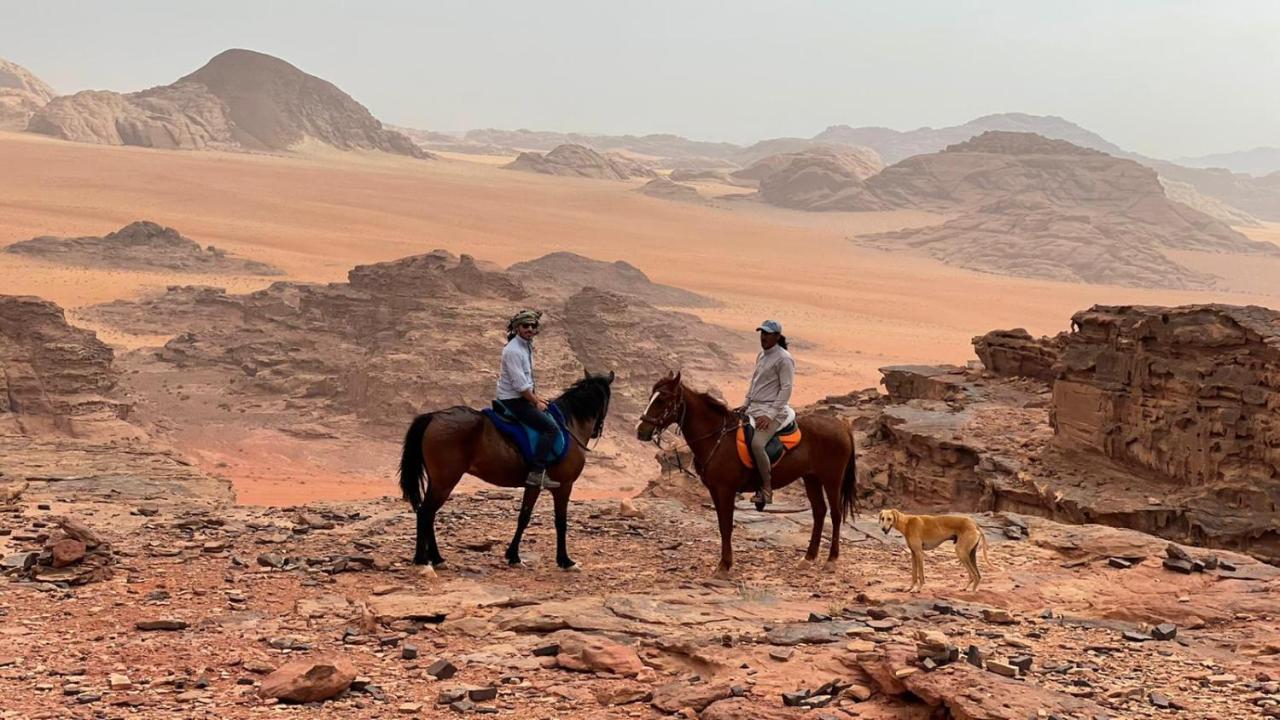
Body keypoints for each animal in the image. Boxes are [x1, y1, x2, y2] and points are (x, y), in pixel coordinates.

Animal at [399, 368, 619, 566]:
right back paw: (423, 559)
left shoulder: (533, 485)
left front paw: (513, 556)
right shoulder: (564, 486)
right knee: (426, 513)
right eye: (608, 401)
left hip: (437, 481)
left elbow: (524, 517)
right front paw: (564, 560)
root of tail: (434, 416)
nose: (596, 431)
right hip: (445, 481)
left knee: (428, 514)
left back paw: (434, 558)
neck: (569, 426)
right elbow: (560, 522)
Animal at [634, 368, 855, 576]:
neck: (717, 438)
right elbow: (722, 525)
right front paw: (724, 563)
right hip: (811, 478)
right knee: (819, 512)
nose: (640, 430)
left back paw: (831, 559)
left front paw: (724, 565)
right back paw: (808, 558)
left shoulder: (726, 490)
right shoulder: (715, 490)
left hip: (832, 479)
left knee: (835, 514)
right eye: (651, 396)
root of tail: (842, 425)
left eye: (662, 399)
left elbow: (726, 526)